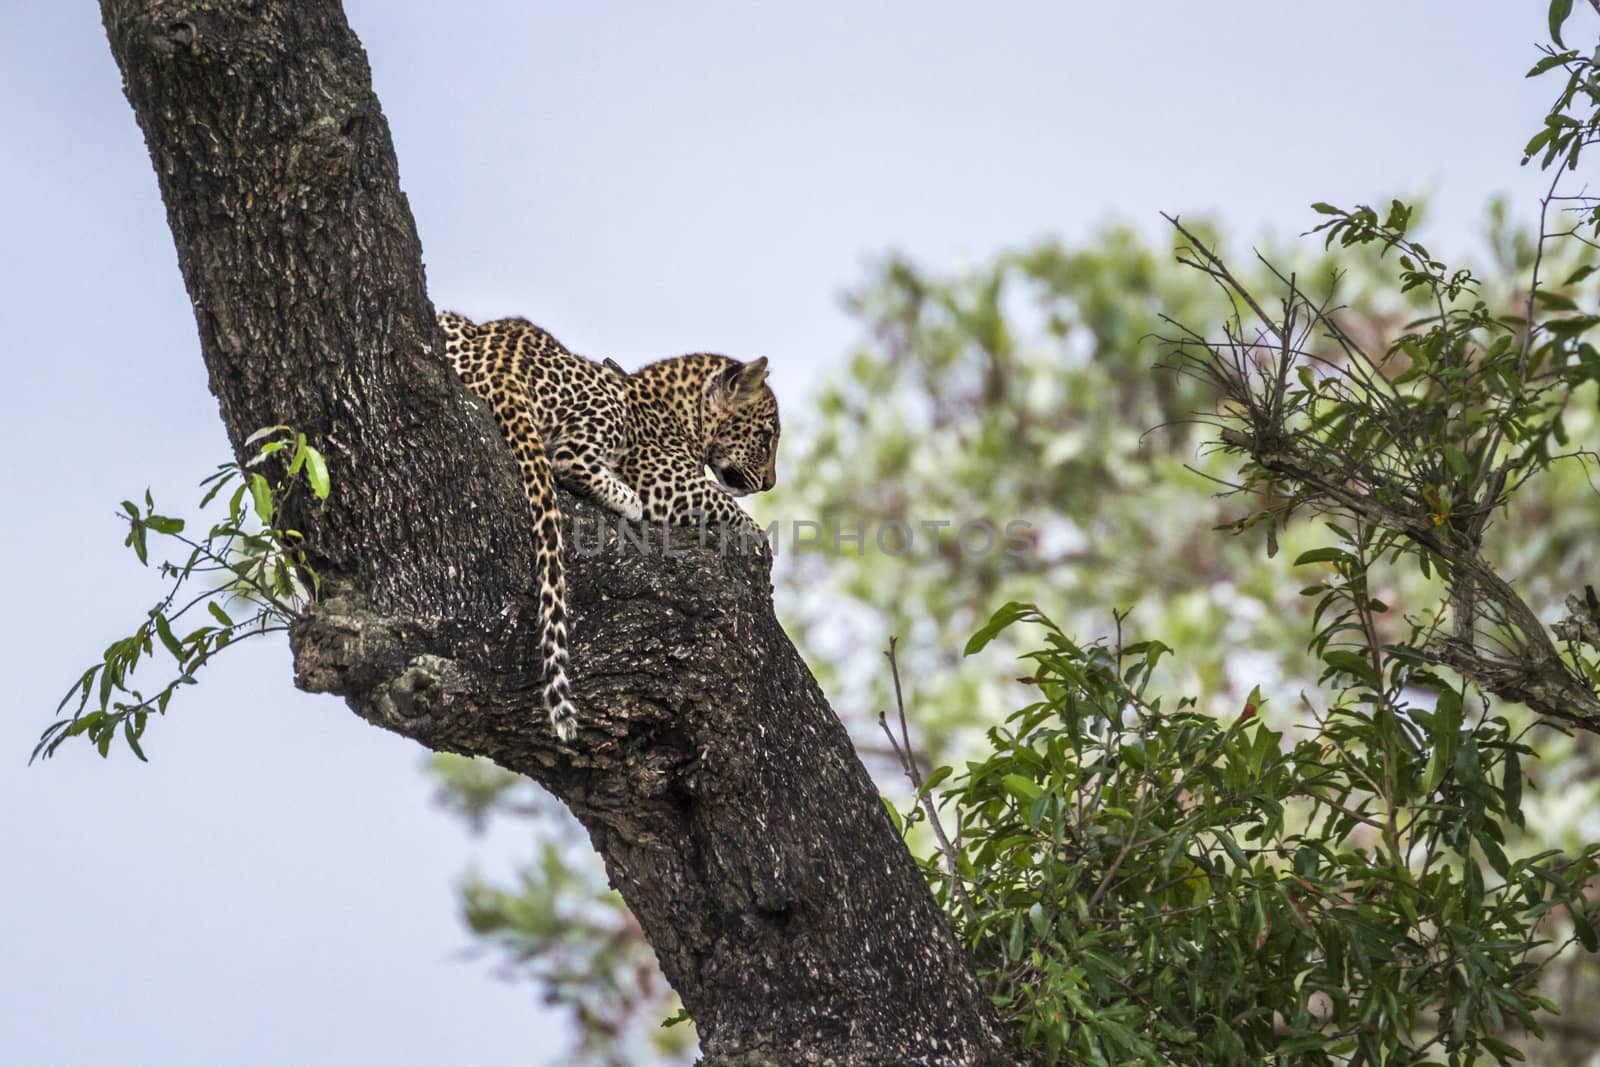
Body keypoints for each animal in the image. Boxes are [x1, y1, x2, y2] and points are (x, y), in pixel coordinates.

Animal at [441, 308, 777, 742]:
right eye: (767, 436)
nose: (770, 483)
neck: (687, 413)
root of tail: (501, 359)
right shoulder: (666, 483)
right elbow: (733, 509)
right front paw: (761, 540)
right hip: (605, 406)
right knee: (567, 460)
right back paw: (626, 499)